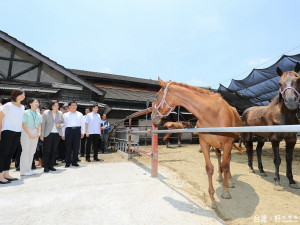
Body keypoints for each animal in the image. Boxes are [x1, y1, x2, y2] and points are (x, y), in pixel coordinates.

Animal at [152, 78, 241, 208]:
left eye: (157, 95)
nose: (152, 116)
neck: (212, 113)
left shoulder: (227, 143)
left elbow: (225, 166)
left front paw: (225, 192)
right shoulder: (204, 143)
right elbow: (209, 168)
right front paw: (211, 199)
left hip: (227, 145)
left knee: (227, 161)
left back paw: (229, 181)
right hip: (217, 146)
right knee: (219, 157)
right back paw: (220, 177)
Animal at [241, 62, 300, 191]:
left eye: (298, 80)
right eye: (279, 83)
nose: (291, 101)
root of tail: (245, 111)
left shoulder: (292, 139)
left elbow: (289, 159)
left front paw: (292, 181)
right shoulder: (275, 139)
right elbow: (277, 160)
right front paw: (277, 182)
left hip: (261, 137)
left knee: (258, 151)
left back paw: (262, 170)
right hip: (248, 136)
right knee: (249, 150)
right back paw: (251, 168)